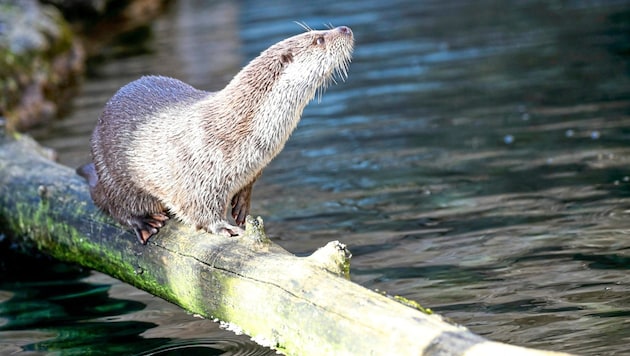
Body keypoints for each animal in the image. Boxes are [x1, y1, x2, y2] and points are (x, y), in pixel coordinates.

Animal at [78, 25, 356, 245]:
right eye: (318, 39)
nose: (345, 29)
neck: (238, 129)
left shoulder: (254, 168)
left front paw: (242, 206)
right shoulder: (197, 172)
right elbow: (199, 209)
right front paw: (222, 227)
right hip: (113, 173)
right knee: (114, 206)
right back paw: (143, 223)